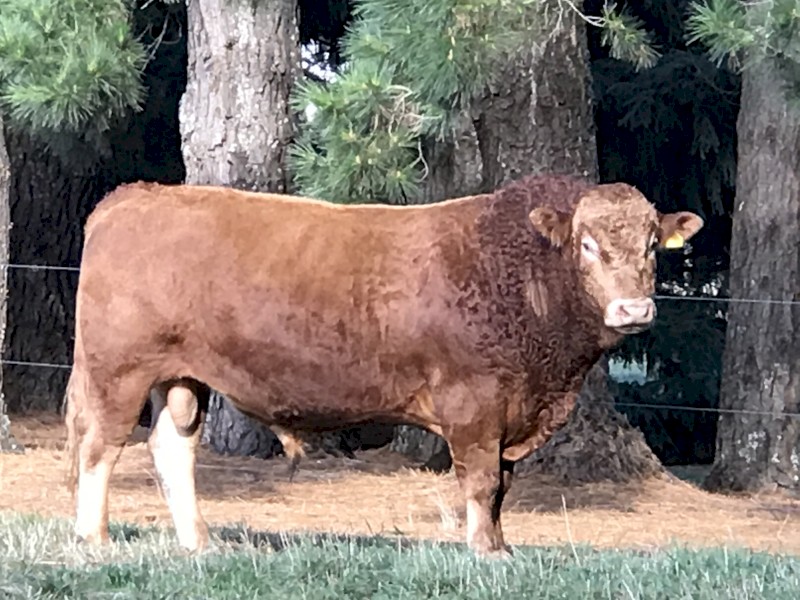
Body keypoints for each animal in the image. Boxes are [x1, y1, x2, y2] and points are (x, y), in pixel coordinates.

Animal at [64, 174, 703, 558]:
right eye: (587, 245)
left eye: (653, 244)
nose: (633, 308)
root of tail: (136, 194)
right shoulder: (475, 403)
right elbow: (482, 480)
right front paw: (483, 553)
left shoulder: (510, 411)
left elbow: (502, 486)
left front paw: (501, 546)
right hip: (118, 371)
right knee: (100, 447)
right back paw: (93, 537)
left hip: (182, 378)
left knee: (172, 449)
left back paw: (200, 543)